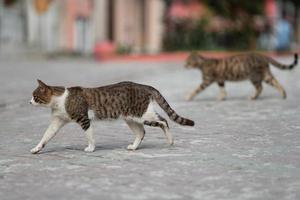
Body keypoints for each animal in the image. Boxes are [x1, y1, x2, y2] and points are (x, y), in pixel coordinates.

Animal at [29, 79, 195, 153]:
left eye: (35, 97)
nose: (29, 102)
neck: (60, 100)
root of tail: (144, 86)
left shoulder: (84, 119)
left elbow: (89, 136)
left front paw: (91, 148)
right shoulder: (57, 121)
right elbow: (46, 136)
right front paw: (37, 148)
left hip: (144, 115)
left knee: (164, 121)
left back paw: (170, 140)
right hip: (131, 118)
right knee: (142, 132)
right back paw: (134, 147)